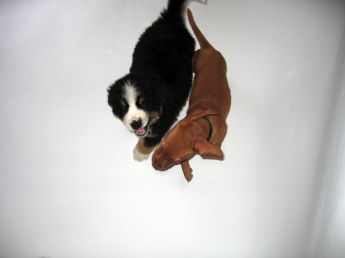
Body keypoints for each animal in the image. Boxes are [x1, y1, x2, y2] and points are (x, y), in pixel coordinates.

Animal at [107, 0, 196, 161]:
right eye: (124, 108)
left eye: (144, 104)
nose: (136, 123)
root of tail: (169, 19)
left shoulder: (166, 118)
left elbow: (151, 138)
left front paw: (140, 152)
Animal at [151, 8, 230, 181]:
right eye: (162, 143)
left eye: (175, 159)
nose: (153, 165)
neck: (205, 121)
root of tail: (208, 49)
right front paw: (187, 170)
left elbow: (215, 146)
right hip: (195, 59)